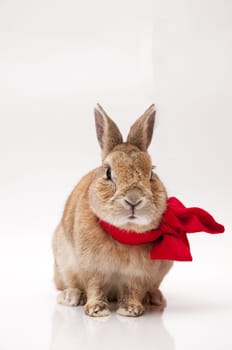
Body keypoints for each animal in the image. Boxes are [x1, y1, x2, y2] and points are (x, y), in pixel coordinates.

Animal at [52, 104, 172, 318]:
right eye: (108, 172)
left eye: (151, 172)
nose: (134, 200)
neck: (123, 232)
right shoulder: (92, 267)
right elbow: (94, 286)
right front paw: (96, 310)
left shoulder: (139, 273)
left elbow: (134, 289)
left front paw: (130, 310)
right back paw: (71, 296)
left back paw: (154, 298)